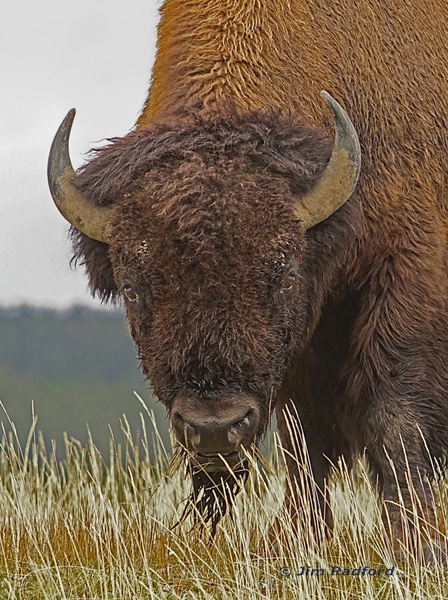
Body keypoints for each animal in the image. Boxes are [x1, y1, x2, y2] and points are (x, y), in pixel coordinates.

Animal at [48, 0, 448, 556]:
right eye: (133, 288)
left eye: (284, 276)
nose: (215, 427)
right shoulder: (303, 345)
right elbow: (303, 435)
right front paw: (296, 537)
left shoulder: (404, 275)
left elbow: (395, 415)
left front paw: (416, 544)